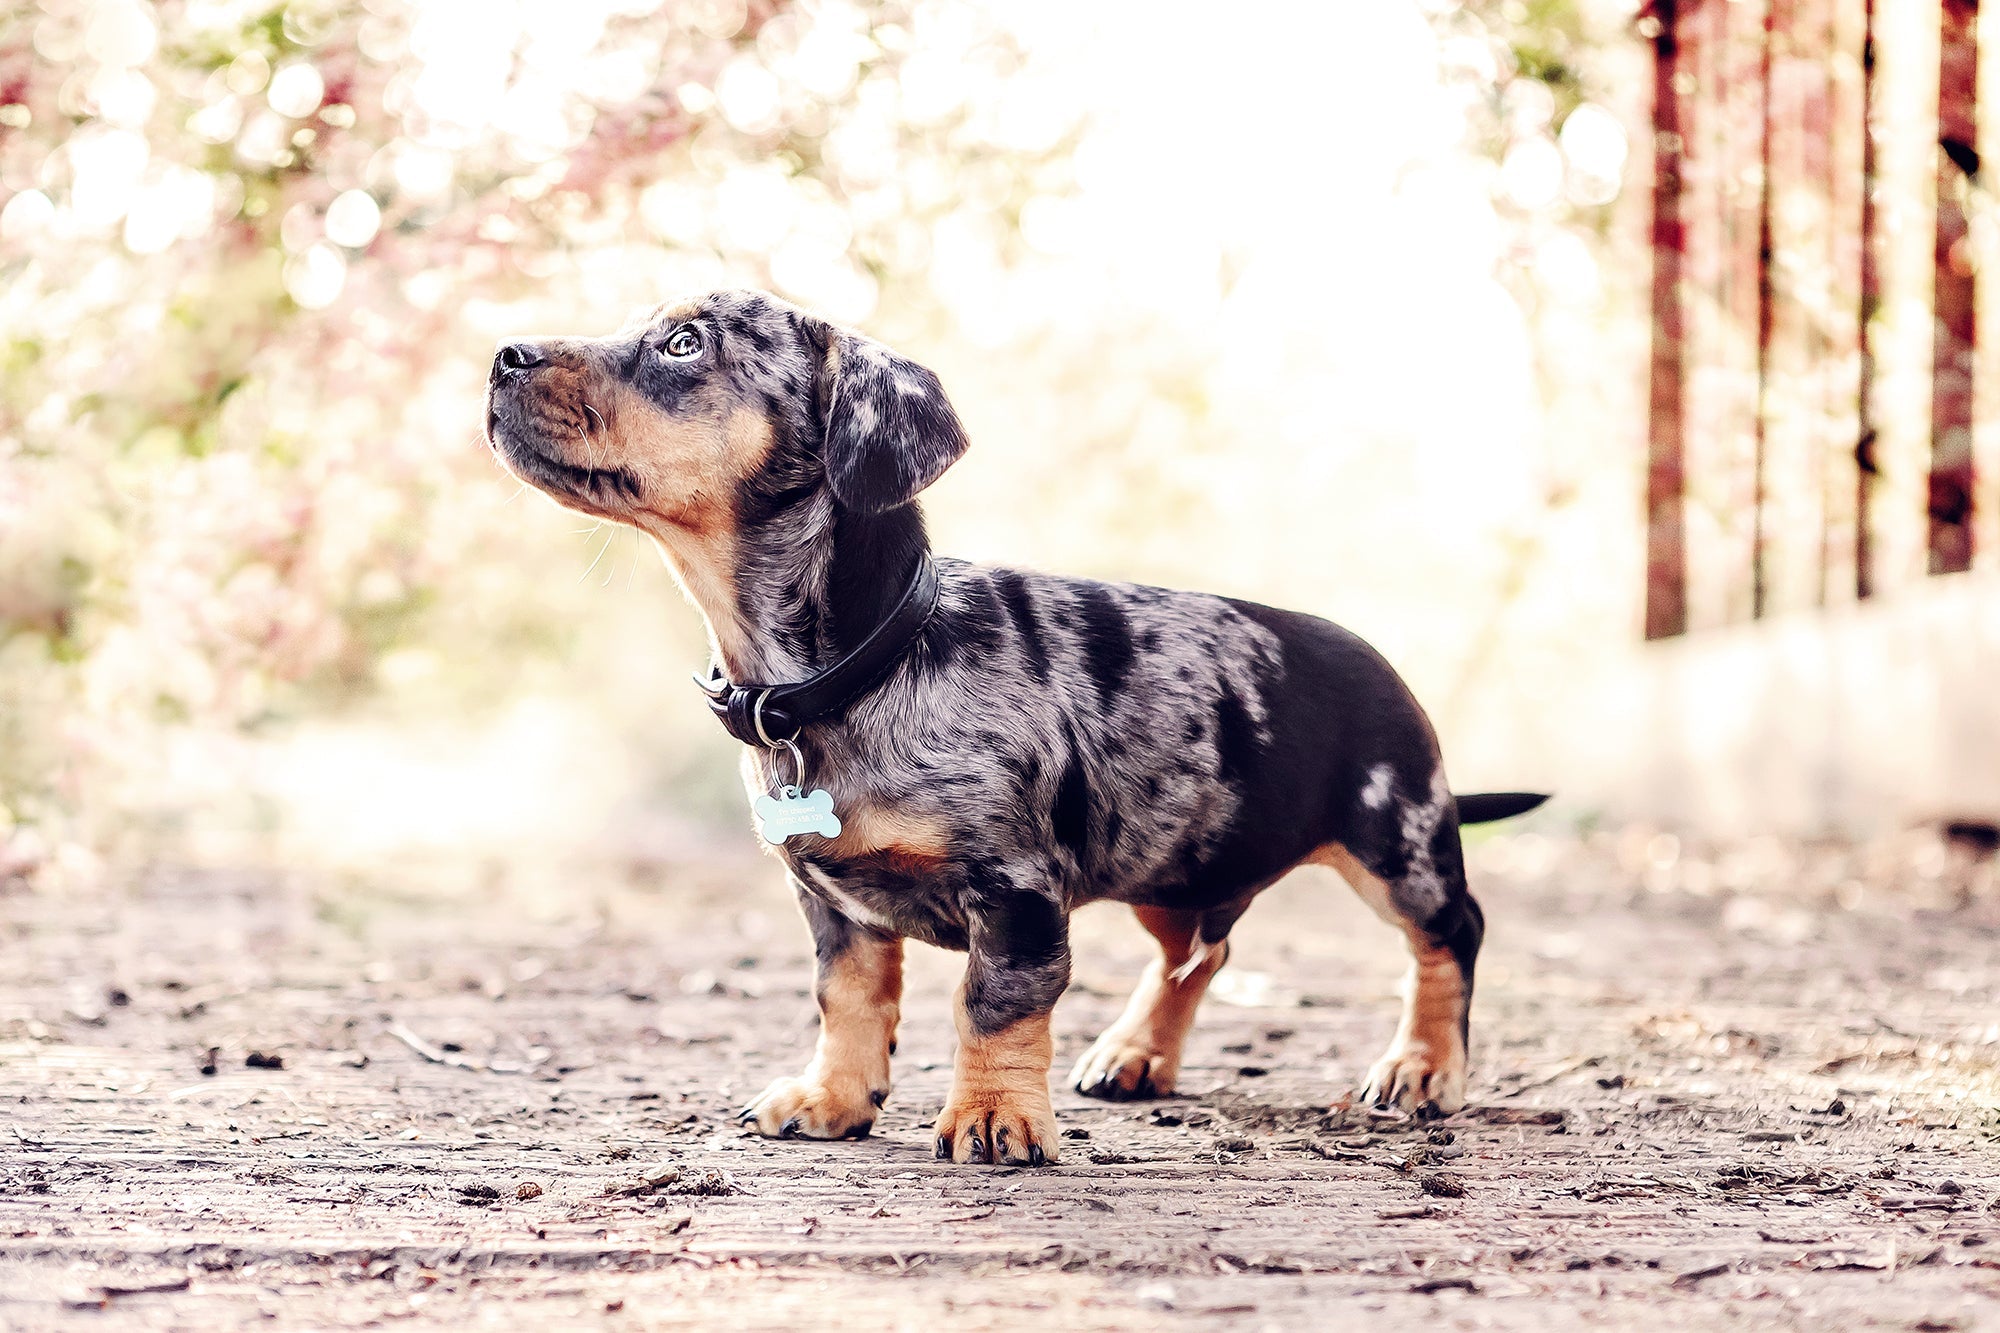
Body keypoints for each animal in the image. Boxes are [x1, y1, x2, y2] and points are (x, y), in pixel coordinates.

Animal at [484, 288, 1544, 1160]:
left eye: (683, 342)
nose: (501, 355)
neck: (863, 665)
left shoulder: (1019, 893)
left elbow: (991, 1006)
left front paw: (995, 1115)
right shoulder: (833, 906)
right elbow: (848, 1000)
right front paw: (834, 1096)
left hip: (1396, 840)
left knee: (1450, 935)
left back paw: (1422, 1067)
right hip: (1172, 859)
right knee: (1200, 951)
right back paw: (1136, 1052)